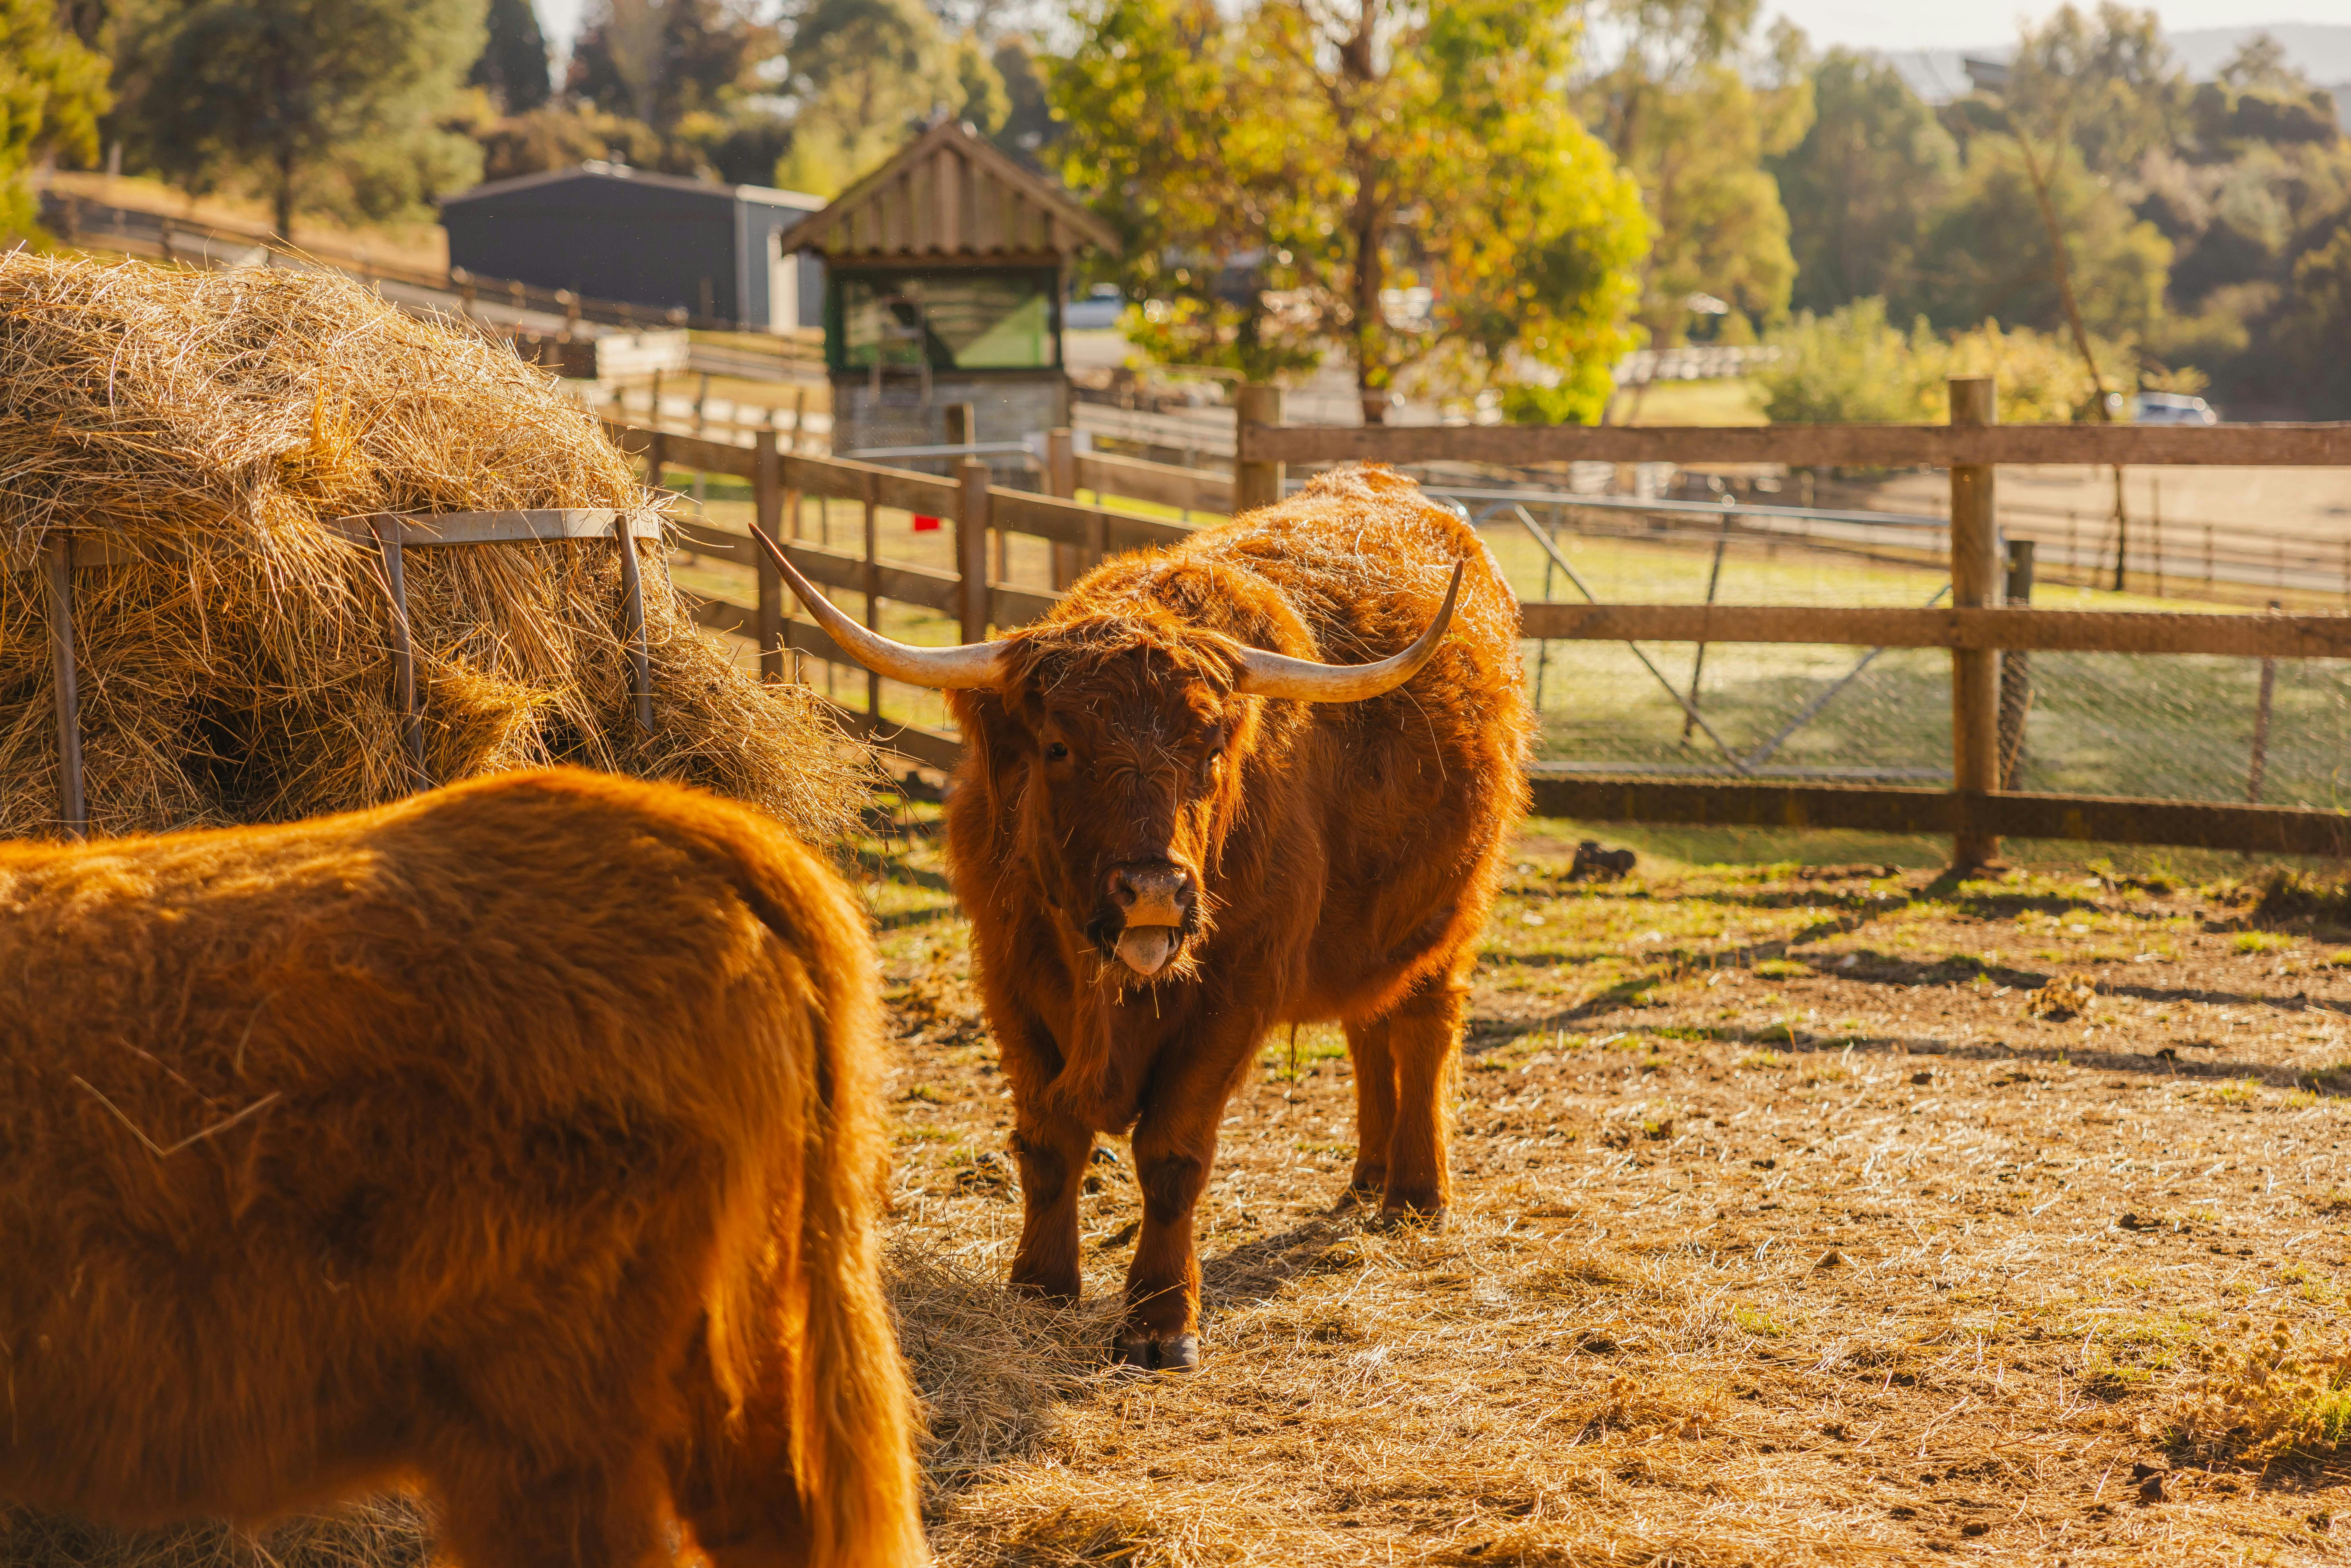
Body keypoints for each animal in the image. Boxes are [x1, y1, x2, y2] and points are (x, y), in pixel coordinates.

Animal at [754, 463, 1530, 1369]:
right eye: (1058, 746)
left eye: (1211, 750)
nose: (1155, 891)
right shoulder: (1009, 974)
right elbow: (1048, 1142)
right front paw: (1040, 1282)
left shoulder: (1235, 991)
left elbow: (1172, 1154)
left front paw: (1160, 1320)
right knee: (1369, 1025)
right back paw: (1369, 1172)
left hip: (1451, 910)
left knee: (1424, 1028)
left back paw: (1414, 1191)